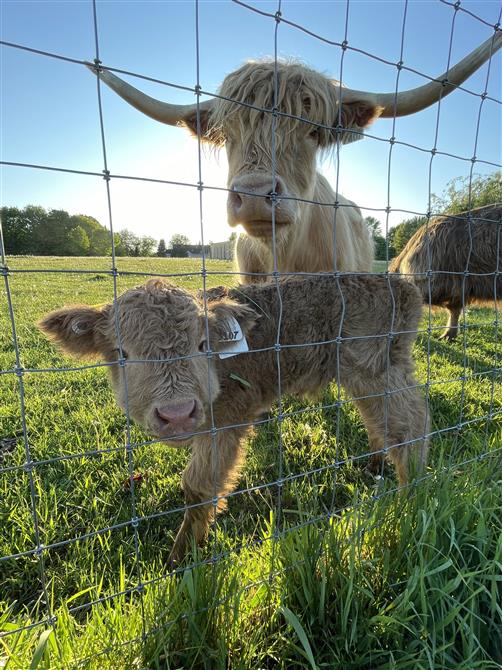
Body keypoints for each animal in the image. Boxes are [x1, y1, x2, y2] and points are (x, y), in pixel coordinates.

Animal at [39, 274, 429, 564]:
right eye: (123, 353)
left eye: (201, 345)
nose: (177, 414)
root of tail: (400, 284)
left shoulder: (227, 420)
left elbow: (198, 487)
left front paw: (181, 557)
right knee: (382, 420)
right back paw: (377, 465)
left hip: (375, 372)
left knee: (410, 425)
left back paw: (412, 496)